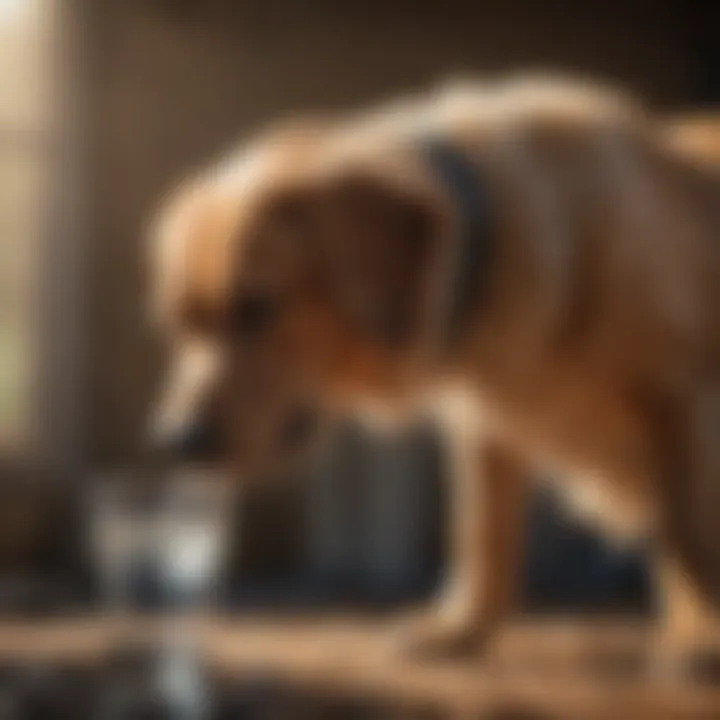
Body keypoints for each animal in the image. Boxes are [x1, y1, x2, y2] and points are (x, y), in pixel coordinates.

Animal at [149, 76, 720, 672]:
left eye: (257, 307)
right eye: (180, 323)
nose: (175, 440)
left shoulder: (682, 399)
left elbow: (687, 531)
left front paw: (700, 634)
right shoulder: (485, 427)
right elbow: (483, 537)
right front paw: (459, 630)